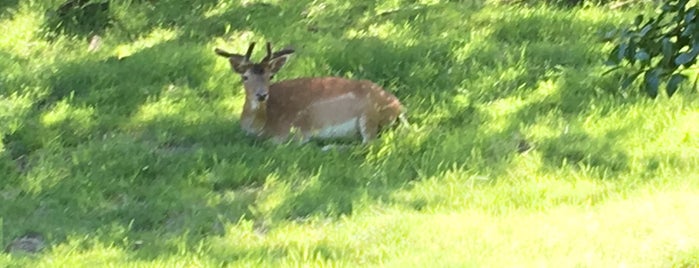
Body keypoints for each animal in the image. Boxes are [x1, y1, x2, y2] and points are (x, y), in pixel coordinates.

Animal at [216, 42, 408, 146]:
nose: (261, 95)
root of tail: (398, 107)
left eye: (270, 76)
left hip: (369, 113)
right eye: (245, 77)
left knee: (369, 143)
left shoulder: (293, 129)